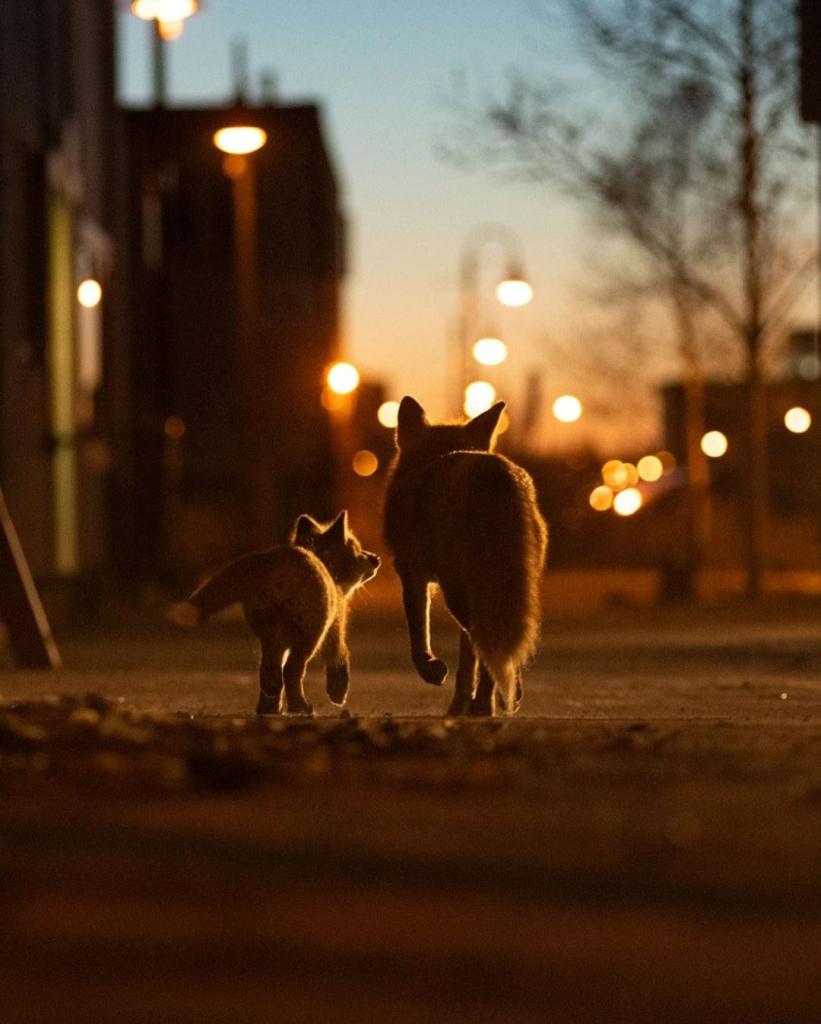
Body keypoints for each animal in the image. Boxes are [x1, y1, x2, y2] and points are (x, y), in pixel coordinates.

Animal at [174, 509, 378, 712]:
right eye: (358, 550)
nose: (376, 558)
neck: (328, 568)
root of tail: (273, 558)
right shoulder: (334, 629)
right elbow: (340, 658)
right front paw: (338, 694)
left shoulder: (284, 643)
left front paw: (274, 705)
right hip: (308, 637)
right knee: (291, 670)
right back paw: (300, 707)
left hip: (269, 632)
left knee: (269, 671)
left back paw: (269, 705)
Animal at [382, 395, 544, 716]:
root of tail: (494, 471)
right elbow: (467, 662)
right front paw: (460, 703)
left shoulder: (411, 573)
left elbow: (418, 635)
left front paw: (431, 671)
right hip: (494, 588)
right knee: (493, 645)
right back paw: (494, 699)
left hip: (459, 593)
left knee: (488, 643)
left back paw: (485, 705)